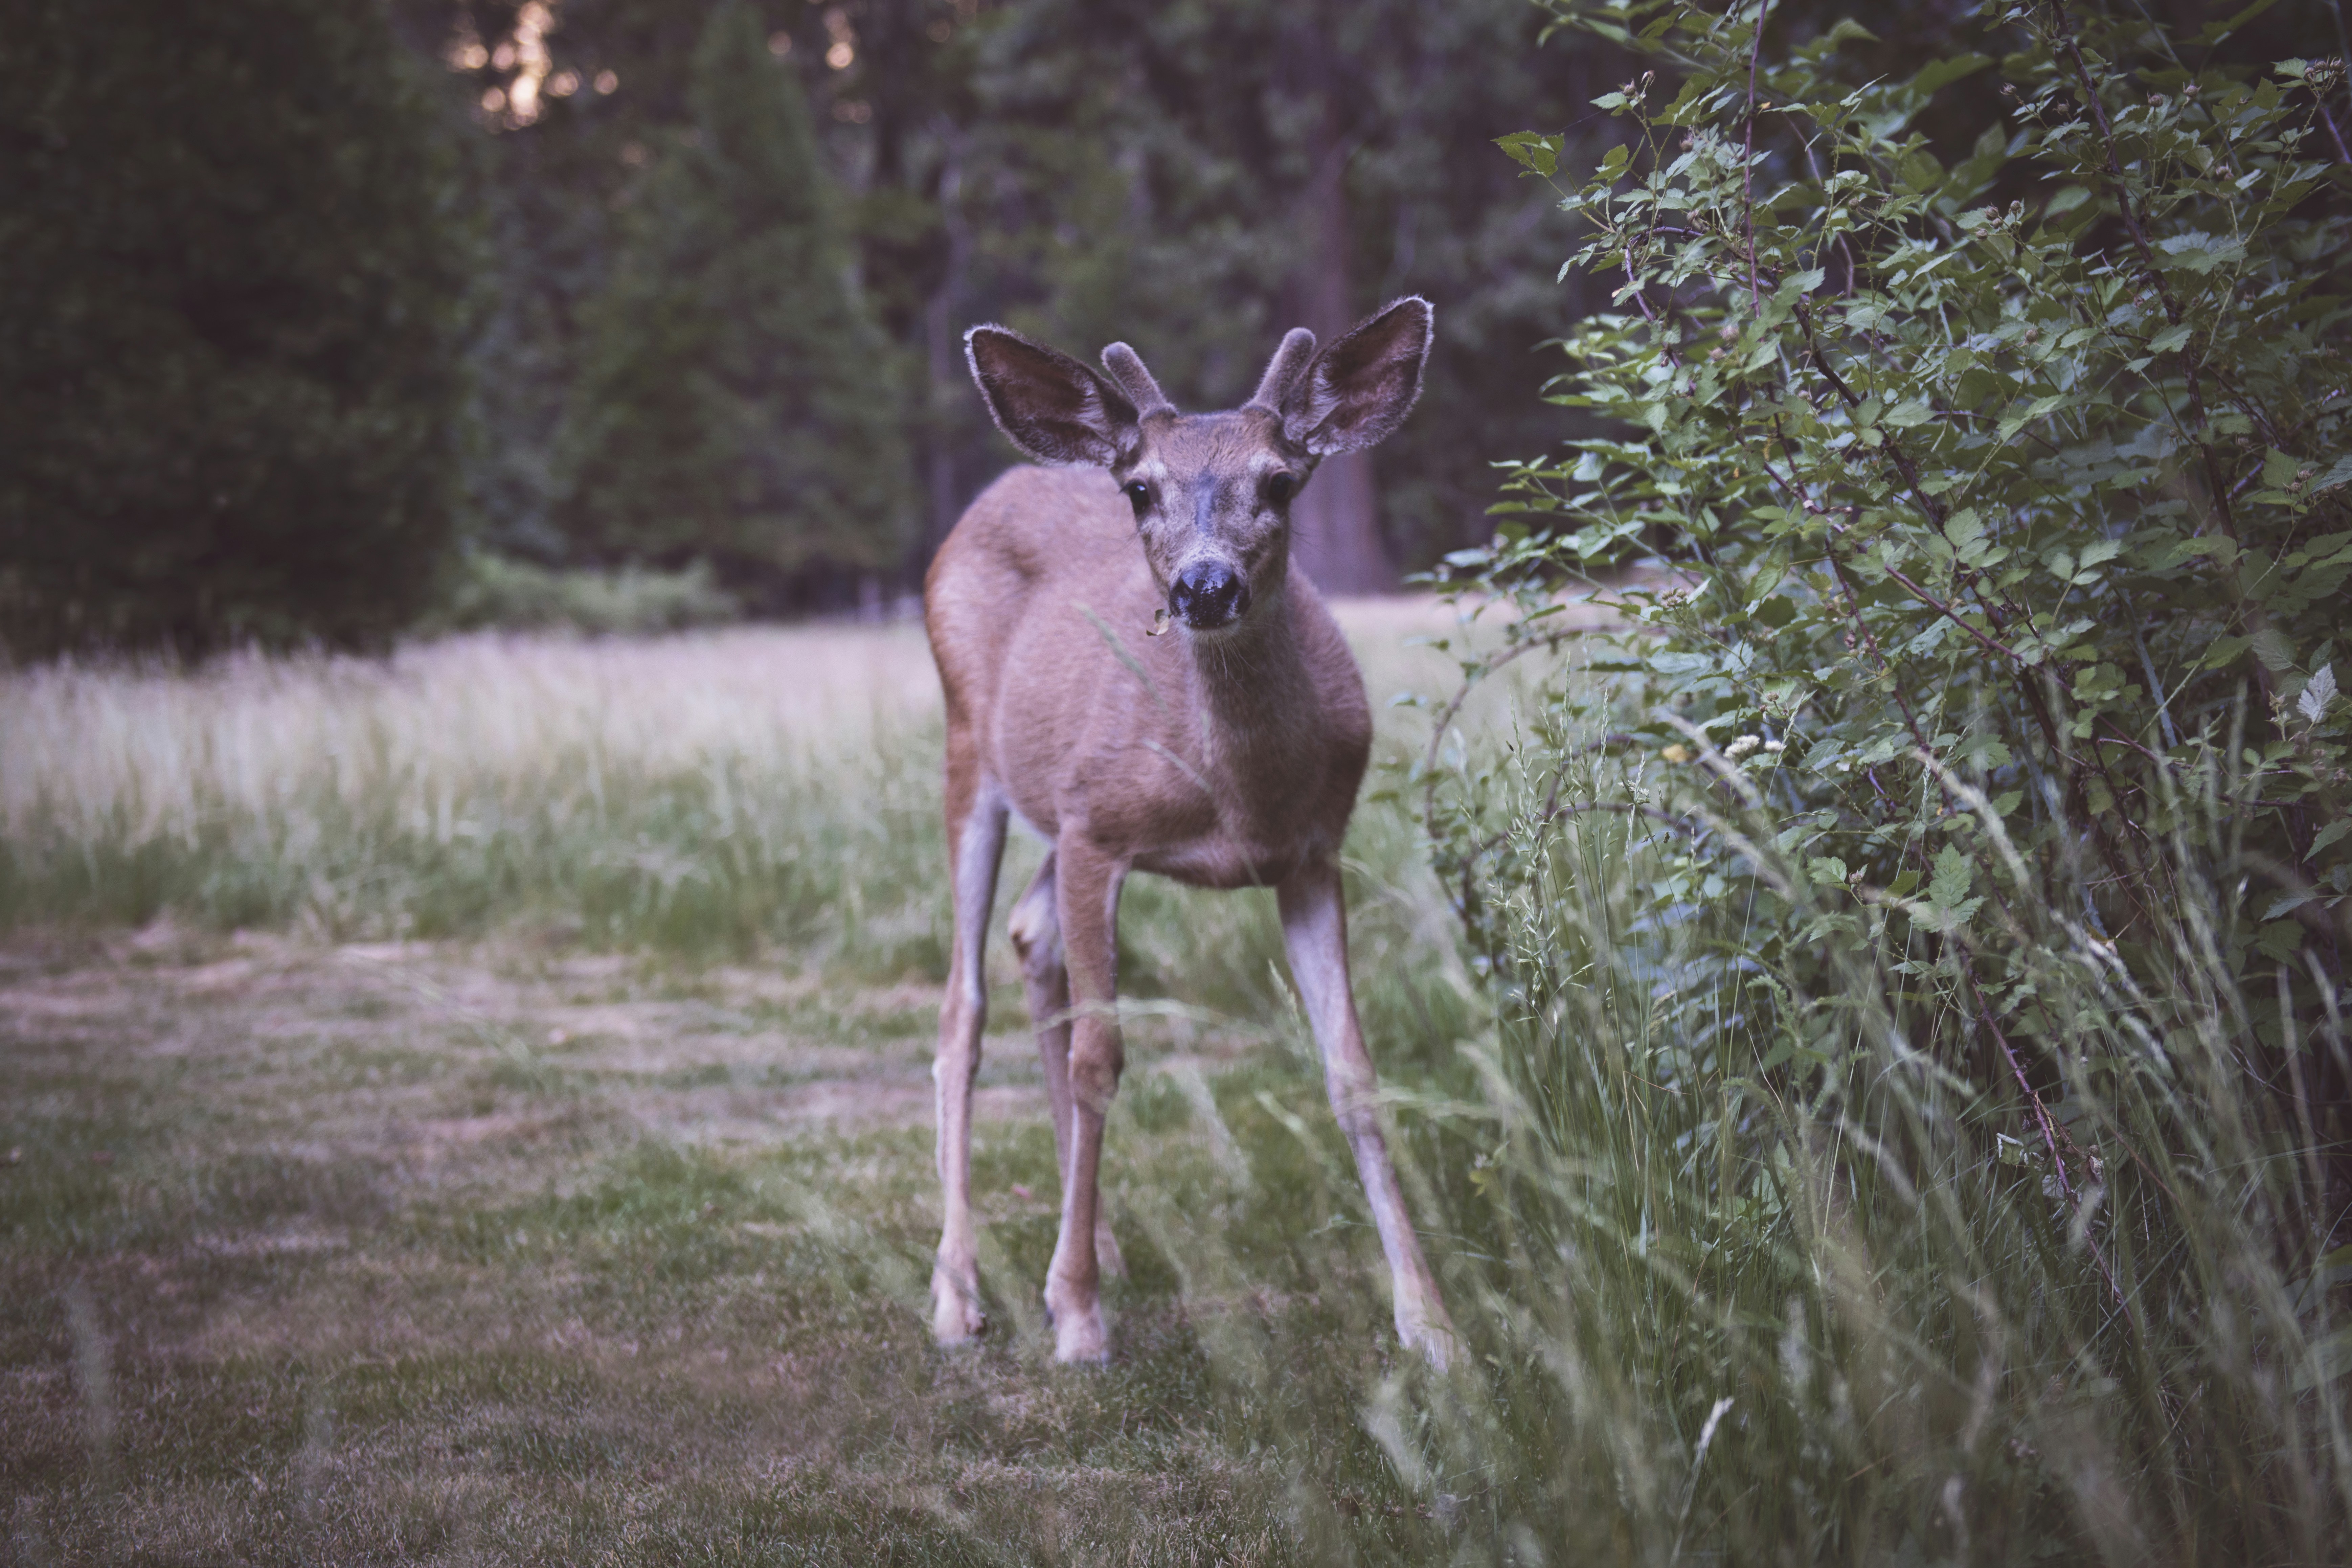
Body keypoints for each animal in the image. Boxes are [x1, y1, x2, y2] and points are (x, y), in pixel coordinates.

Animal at [922, 295, 1458, 1367]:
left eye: (1281, 480)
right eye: (1140, 490)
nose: (1205, 588)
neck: (1235, 797)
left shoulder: (1314, 853)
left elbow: (1354, 1072)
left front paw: (1431, 1322)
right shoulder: (1098, 829)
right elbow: (1099, 1058)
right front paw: (1080, 1318)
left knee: (1030, 936)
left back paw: (1093, 1242)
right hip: (971, 753)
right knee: (962, 1005)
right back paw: (961, 1291)